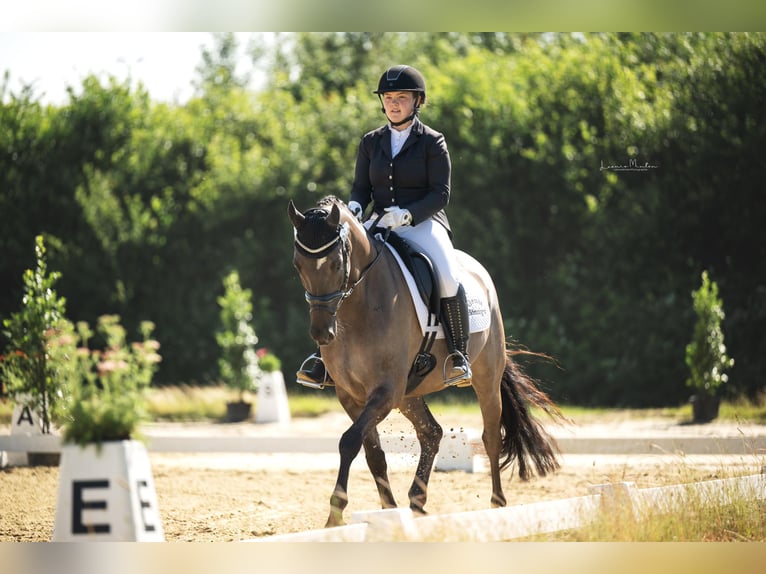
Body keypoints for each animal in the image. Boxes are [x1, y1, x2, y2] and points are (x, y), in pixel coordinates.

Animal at [288, 196, 564, 528]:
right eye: (298, 265)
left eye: (336, 264)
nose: (322, 333)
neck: (359, 306)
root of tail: (478, 272)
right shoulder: (352, 396)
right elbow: (373, 452)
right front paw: (388, 510)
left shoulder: (386, 391)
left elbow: (349, 441)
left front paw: (335, 516)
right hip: (409, 393)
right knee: (431, 433)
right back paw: (416, 502)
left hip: (485, 378)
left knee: (490, 436)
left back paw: (497, 504)